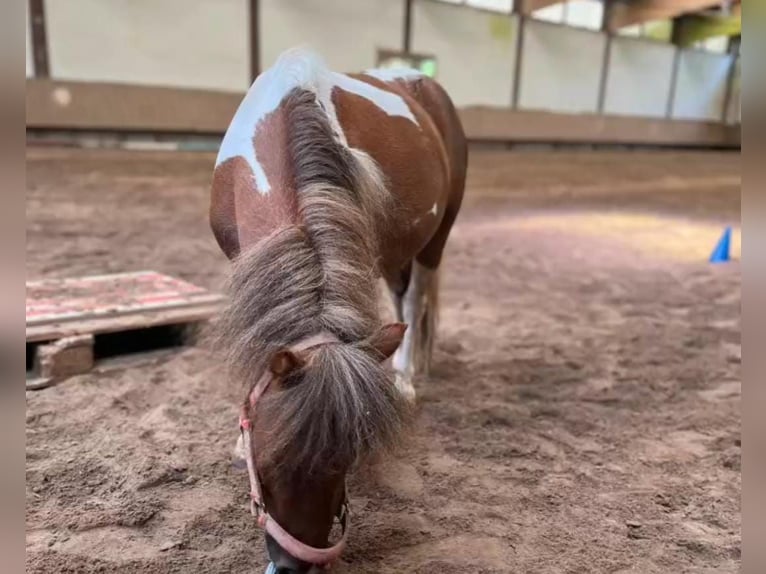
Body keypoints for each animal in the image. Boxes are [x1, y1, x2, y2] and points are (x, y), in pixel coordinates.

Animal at [210, 48, 467, 573]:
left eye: (347, 461)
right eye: (269, 458)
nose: (293, 566)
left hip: (434, 239)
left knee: (416, 297)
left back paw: (406, 375)